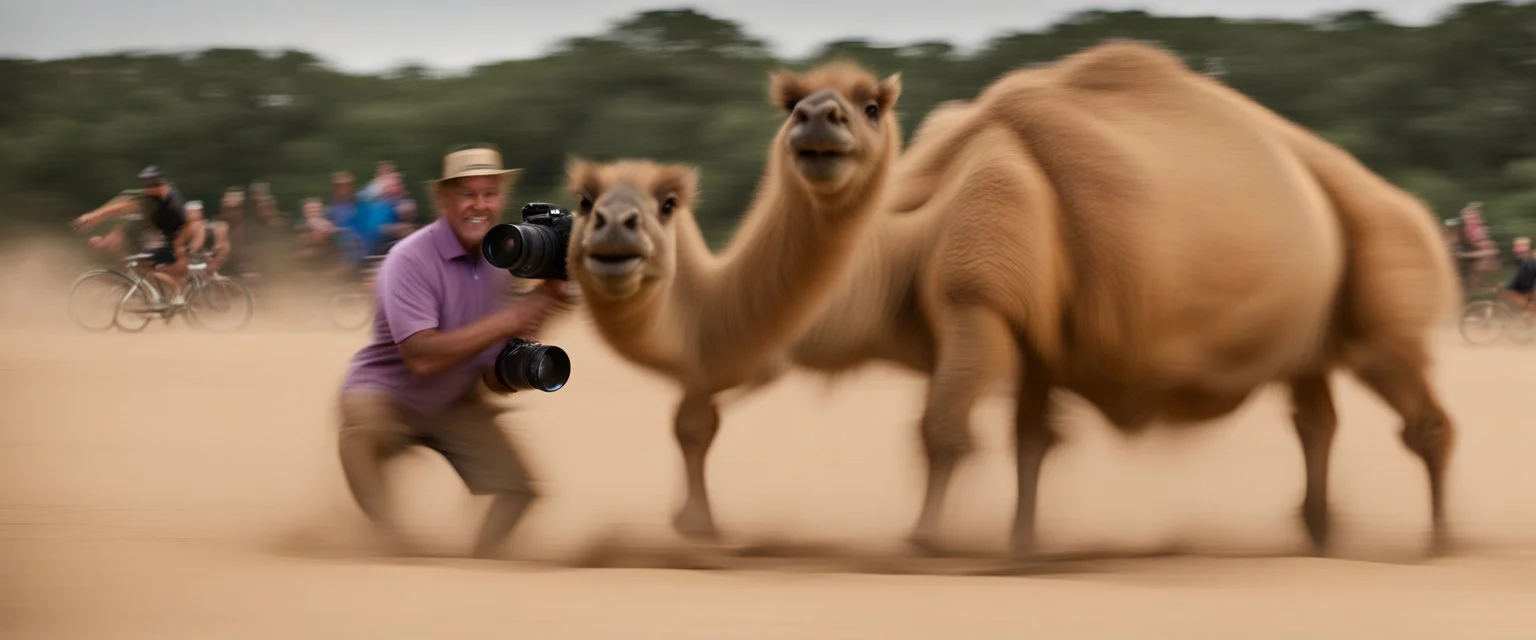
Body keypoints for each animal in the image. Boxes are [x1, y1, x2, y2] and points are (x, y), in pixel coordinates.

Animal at [562, 60, 904, 540]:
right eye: (584, 200)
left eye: (669, 203)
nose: (613, 224)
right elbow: (693, 420)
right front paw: (692, 521)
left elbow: (695, 421)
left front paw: (696, 523)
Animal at [752, 39, 1460, 559]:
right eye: (794, 107)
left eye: (866, 108)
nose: (816, 118)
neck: (906, 235)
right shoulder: (1032, 331)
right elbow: (1031, 439)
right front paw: (1023, 545)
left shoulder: (977, 302)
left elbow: (944, 427)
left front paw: (923, 543)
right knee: (1310, 396)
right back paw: (1319, 539)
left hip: (1381, 230)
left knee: (1386, 355)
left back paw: (1437, 543)